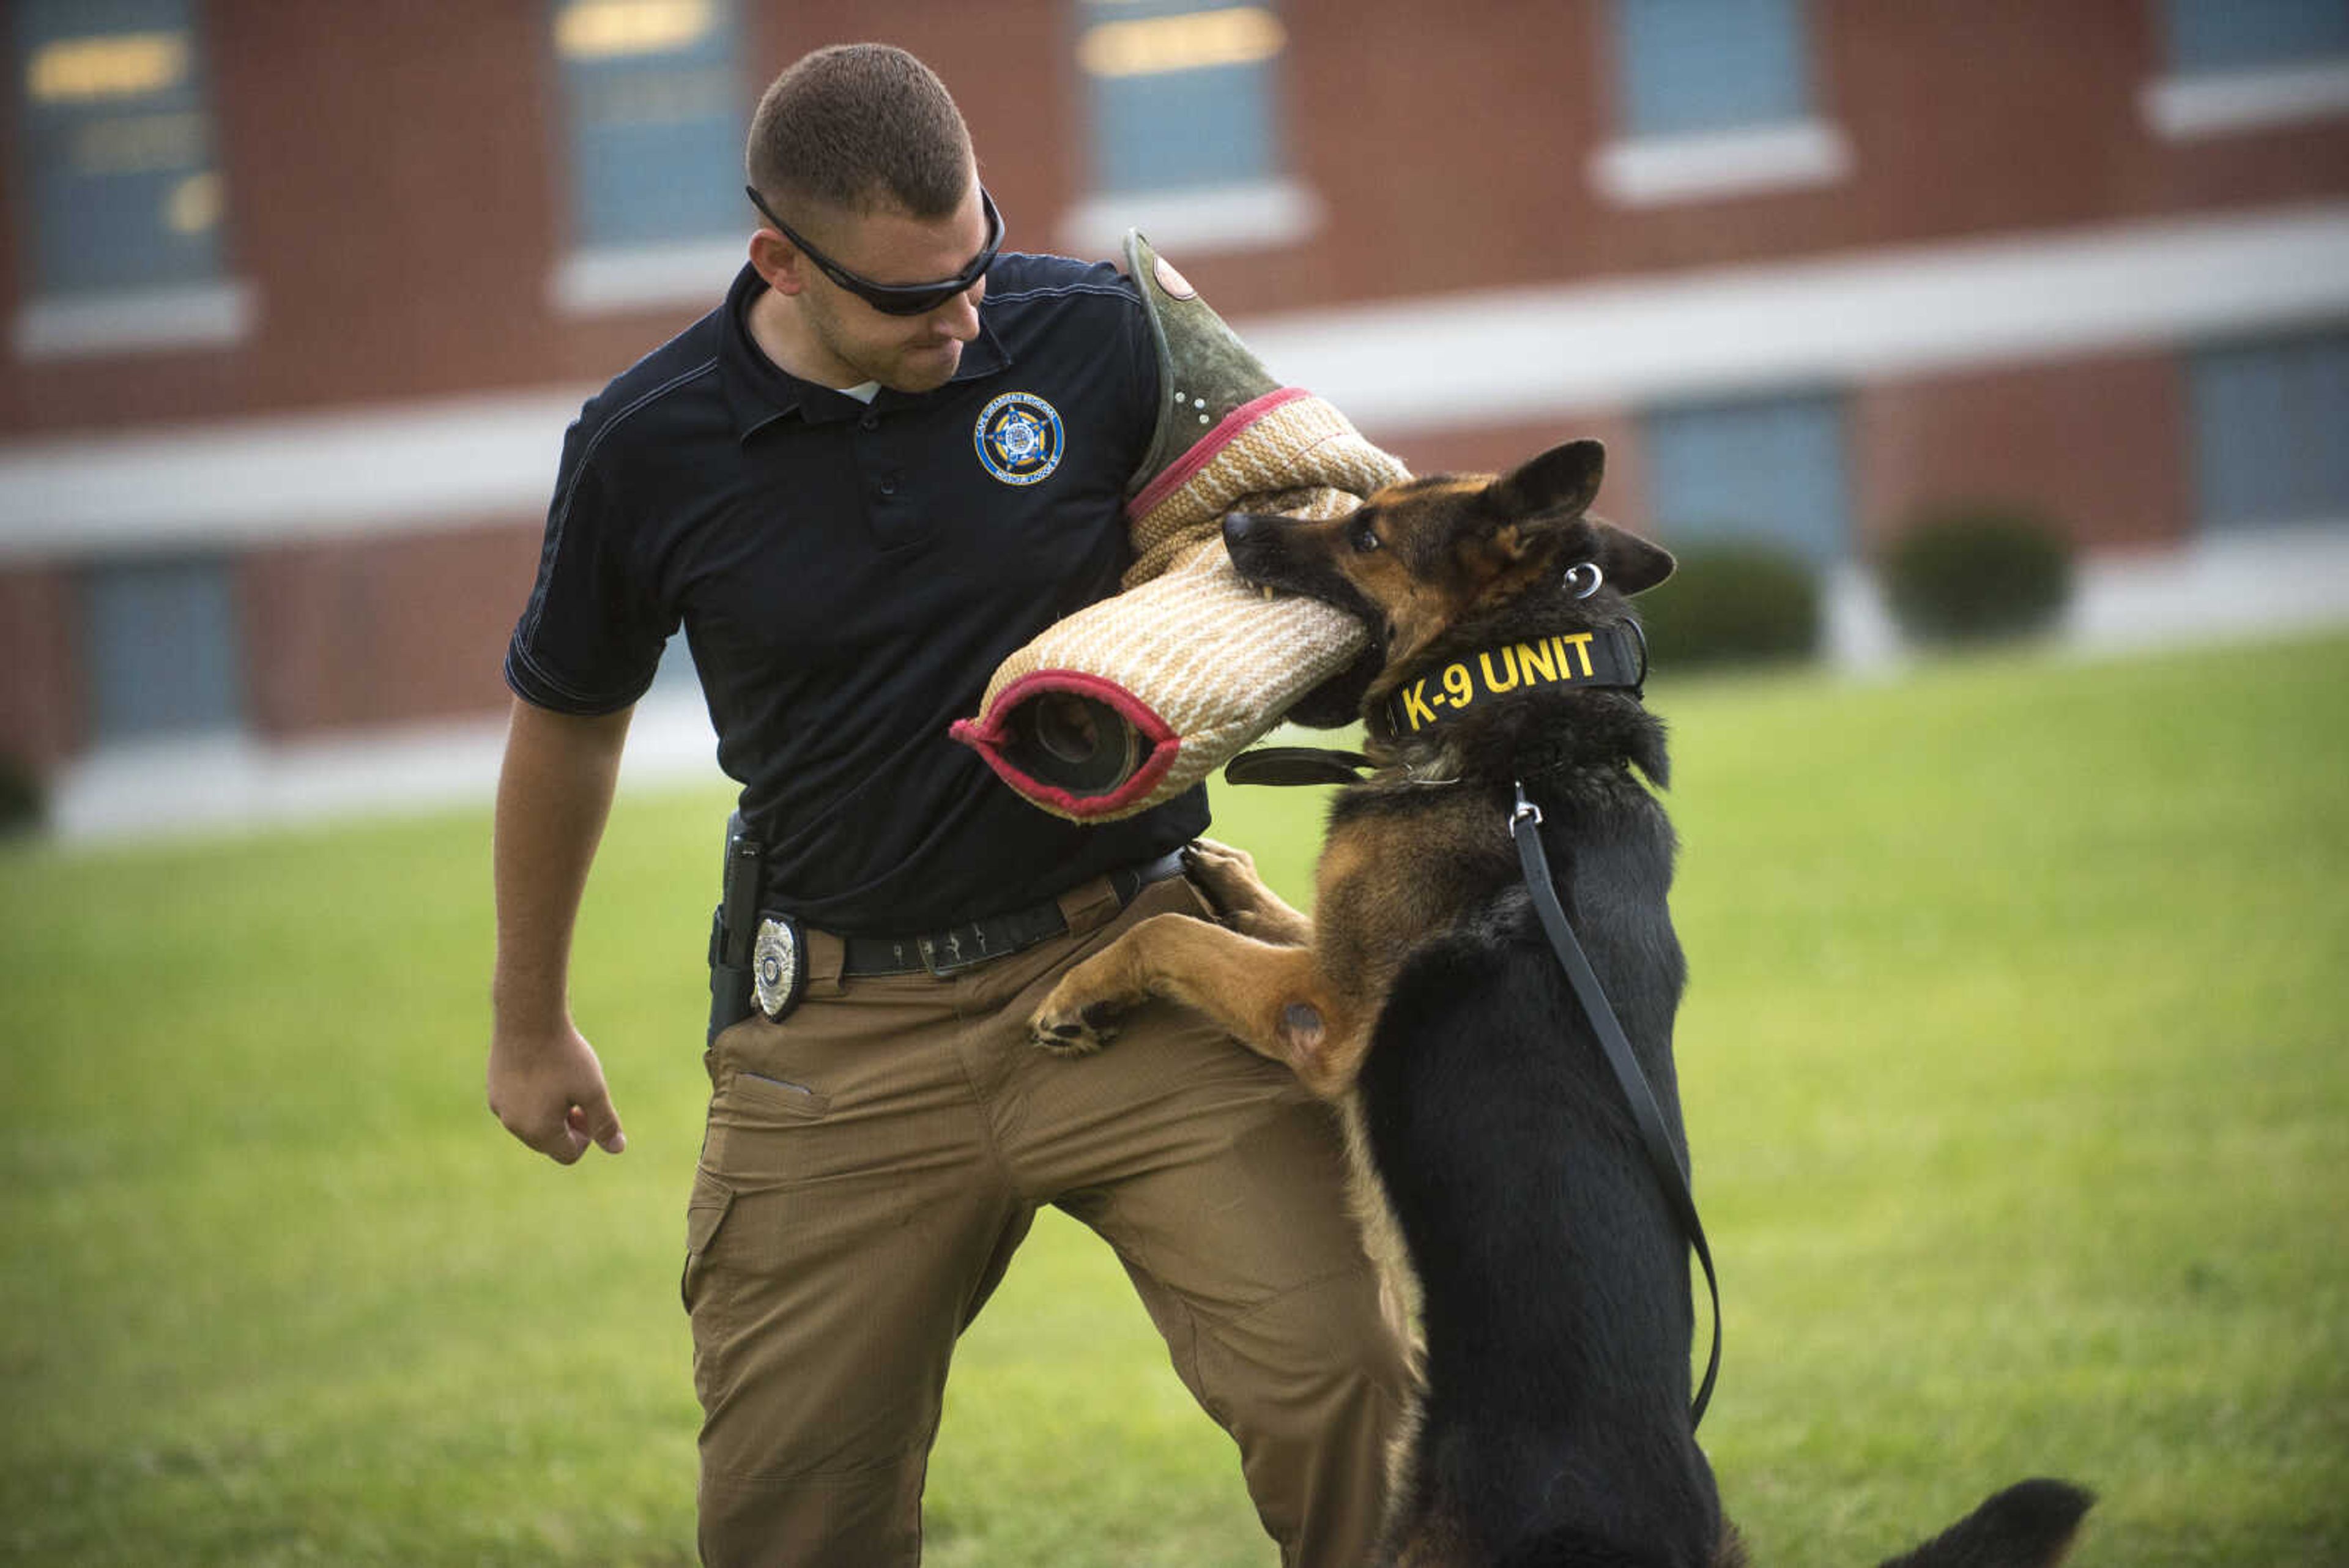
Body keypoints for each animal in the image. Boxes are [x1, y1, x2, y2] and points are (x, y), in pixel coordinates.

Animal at [1028, 442, 2095, 1568]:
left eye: (1366, 531)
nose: (1234, 530)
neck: (1528, 761)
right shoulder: (1330, 956)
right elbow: (1264, 911)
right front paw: (1221, 868)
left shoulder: (1320, 1013)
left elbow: (1167, 935)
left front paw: (1079, 990)